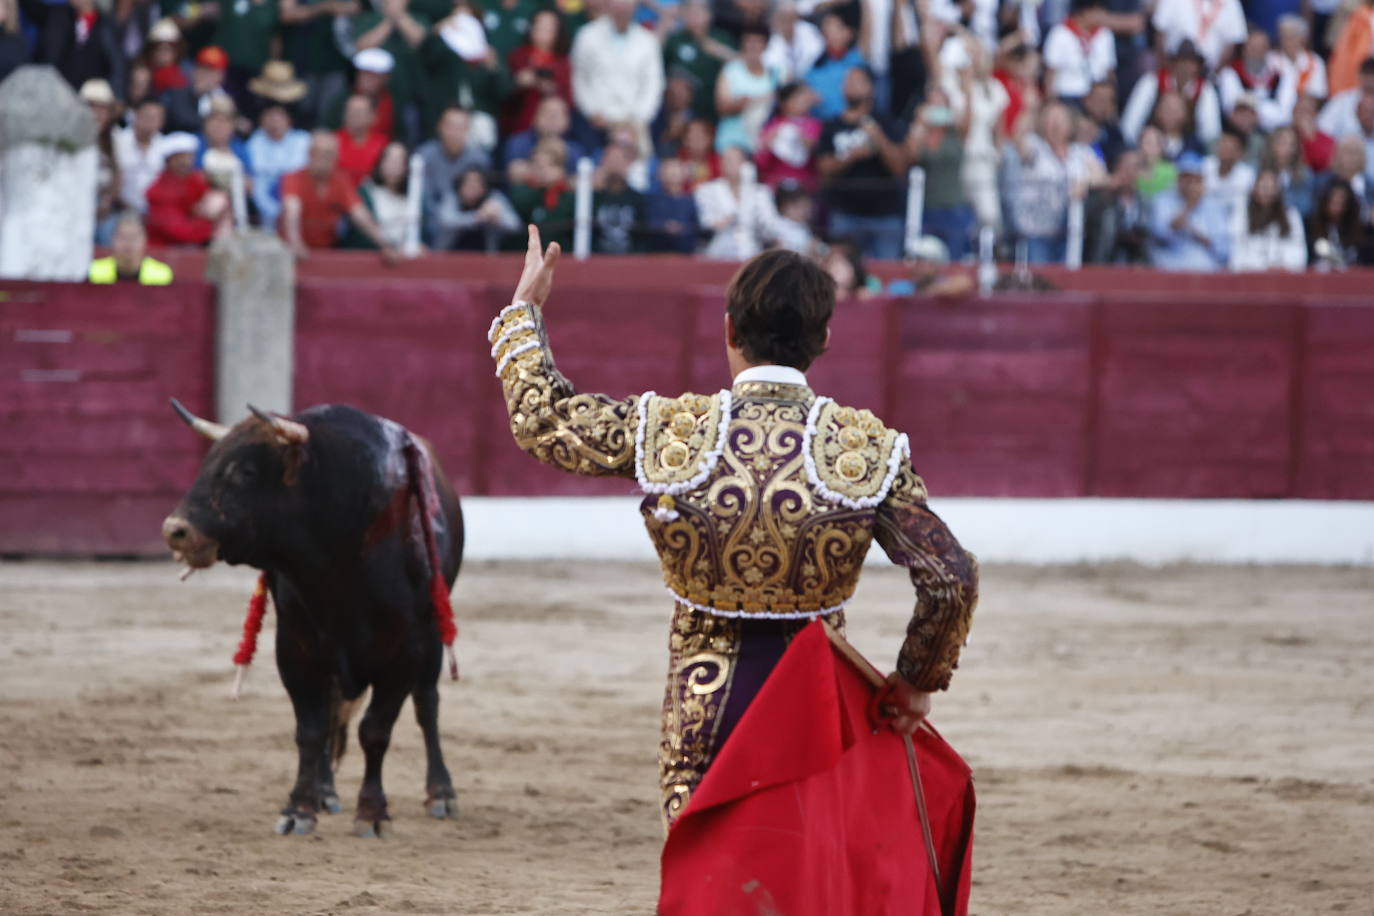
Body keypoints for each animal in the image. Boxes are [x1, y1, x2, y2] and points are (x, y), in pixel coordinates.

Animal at [162, 403, 464, 840]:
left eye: (246, 471)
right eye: (208, 463)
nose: (175, 531)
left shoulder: (404, 651)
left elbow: (376, 731)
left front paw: (372, 813)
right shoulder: (295, 648)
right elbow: (310, 729)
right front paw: (299, 808)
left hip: (432, 640)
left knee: (427, 704)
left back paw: (440, 793)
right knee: (332, 708)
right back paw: (325, 791)